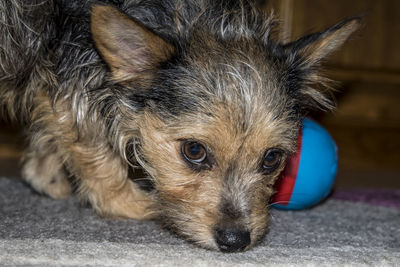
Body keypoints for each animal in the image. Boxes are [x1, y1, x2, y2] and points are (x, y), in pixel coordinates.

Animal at [0, 0, 360, 252]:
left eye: (272, 158)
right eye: (194, 150)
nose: (235, 240)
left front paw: (44, 172)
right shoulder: (69, 81)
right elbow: (94, 150)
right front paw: (134, 203)